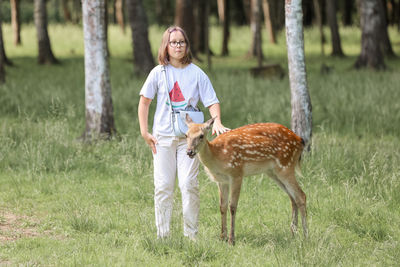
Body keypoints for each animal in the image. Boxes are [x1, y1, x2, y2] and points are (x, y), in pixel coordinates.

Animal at [186, 116, 308, 246]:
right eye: (186, 135)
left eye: (201, 136)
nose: (189, 152)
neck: (218, 156)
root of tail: (300, 140)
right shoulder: (222, 181)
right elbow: (222, 206)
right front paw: (222, 237)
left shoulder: (237, 173)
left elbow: (232, 206)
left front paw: (231, 240)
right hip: (273, 172)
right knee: (293, 198)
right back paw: (293, 234)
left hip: (286, 166)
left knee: (301, 195)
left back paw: (306, 236)